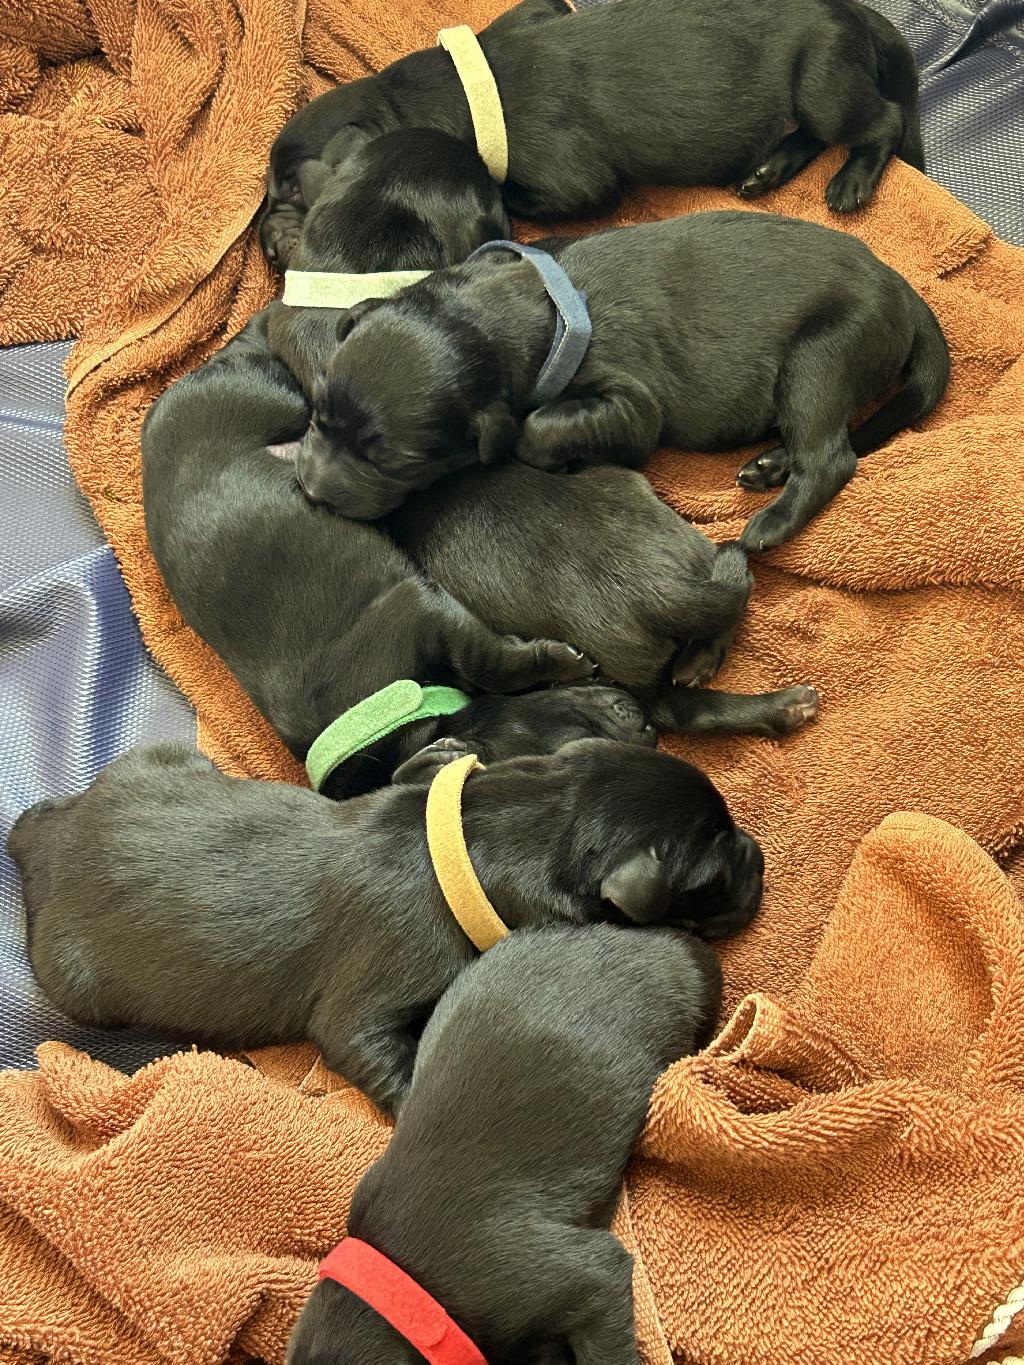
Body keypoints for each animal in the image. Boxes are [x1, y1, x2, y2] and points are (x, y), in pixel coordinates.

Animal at [8, 742, 764, 1113]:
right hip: (78, 983)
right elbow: (369, 1045)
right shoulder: (366, 1007)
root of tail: (41, 846)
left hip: (154, 759)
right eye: (714, 873)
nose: (759, 856)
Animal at [268, 0, 928, 222]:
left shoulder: (582, 186)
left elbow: (515, 195)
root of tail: (854, 11)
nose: (271, 248)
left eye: (295, 192)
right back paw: (765, 172)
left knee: (882, 121)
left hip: (823, 84)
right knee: (811, 133)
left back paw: (851, 184)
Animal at [304, 212, 955, 548]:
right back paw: (770, 464)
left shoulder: (632, 405)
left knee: (831, 458)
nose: (310, 490)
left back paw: (768, 525)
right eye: (316, 413)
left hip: (819, 359)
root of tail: (901, 289)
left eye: (392, 462)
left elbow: (537, 428)